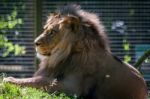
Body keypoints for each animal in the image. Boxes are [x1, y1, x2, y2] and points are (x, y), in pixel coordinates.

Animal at [3, 4, 148, 99]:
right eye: (45, 29)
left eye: (52, 32)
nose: (35, 43)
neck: (67, 55)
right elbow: (40, 79)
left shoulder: (72, 88)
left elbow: (40, 81)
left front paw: (9, 79)